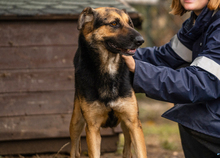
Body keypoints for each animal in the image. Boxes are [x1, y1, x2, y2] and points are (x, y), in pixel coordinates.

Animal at [69, 7, 147, 158]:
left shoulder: (134, 123)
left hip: (126, 125)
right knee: (74, 147)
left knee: (127, 148)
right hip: (76, 121)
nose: (141, 40)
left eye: (130, 23)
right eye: (114, 23)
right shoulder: (92, 128)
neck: (109, 68)